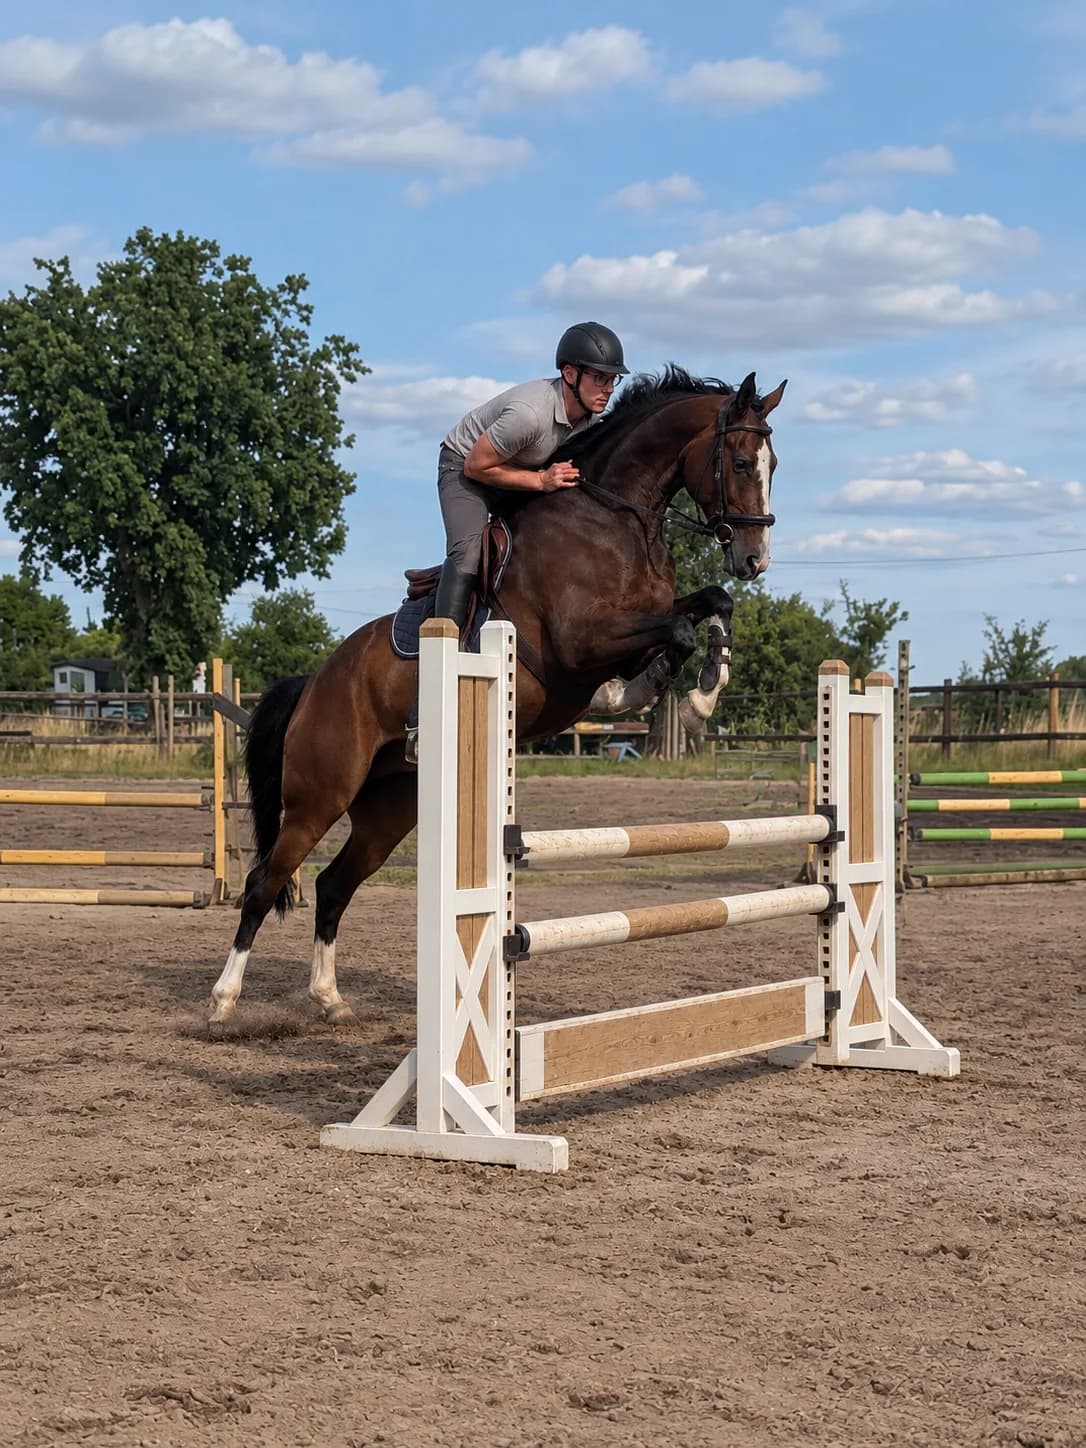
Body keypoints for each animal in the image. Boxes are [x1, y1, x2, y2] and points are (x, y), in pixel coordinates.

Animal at [208, 366, 786, 1027]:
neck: (615, 518)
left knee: (333, 886)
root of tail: (313, 684)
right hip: (319, 796)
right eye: (740, 462)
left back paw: (330, 999)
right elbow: (677, 632)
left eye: (774, 463)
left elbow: (711, 604)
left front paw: (697, 695)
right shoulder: (581, 642)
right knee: (264, 884)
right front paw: (647, 695)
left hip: (389, 809)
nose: (754, 559)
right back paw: (222, 1003)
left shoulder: (645, 619)